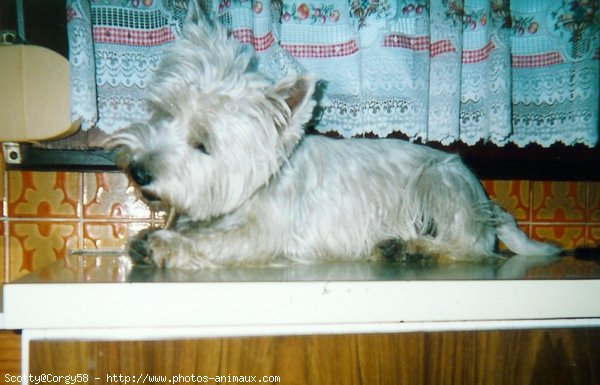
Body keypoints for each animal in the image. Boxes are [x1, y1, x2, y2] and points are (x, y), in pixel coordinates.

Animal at [105, 6, 560, 270]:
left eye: (203, 144)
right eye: (165, 114)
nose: (139, 172)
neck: (262, 181)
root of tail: (482, 199)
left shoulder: (266, 232)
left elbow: (218, 241)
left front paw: (165, 245)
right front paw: (151, 236)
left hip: (438, 182)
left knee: (469, 247)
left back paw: (416, 249)